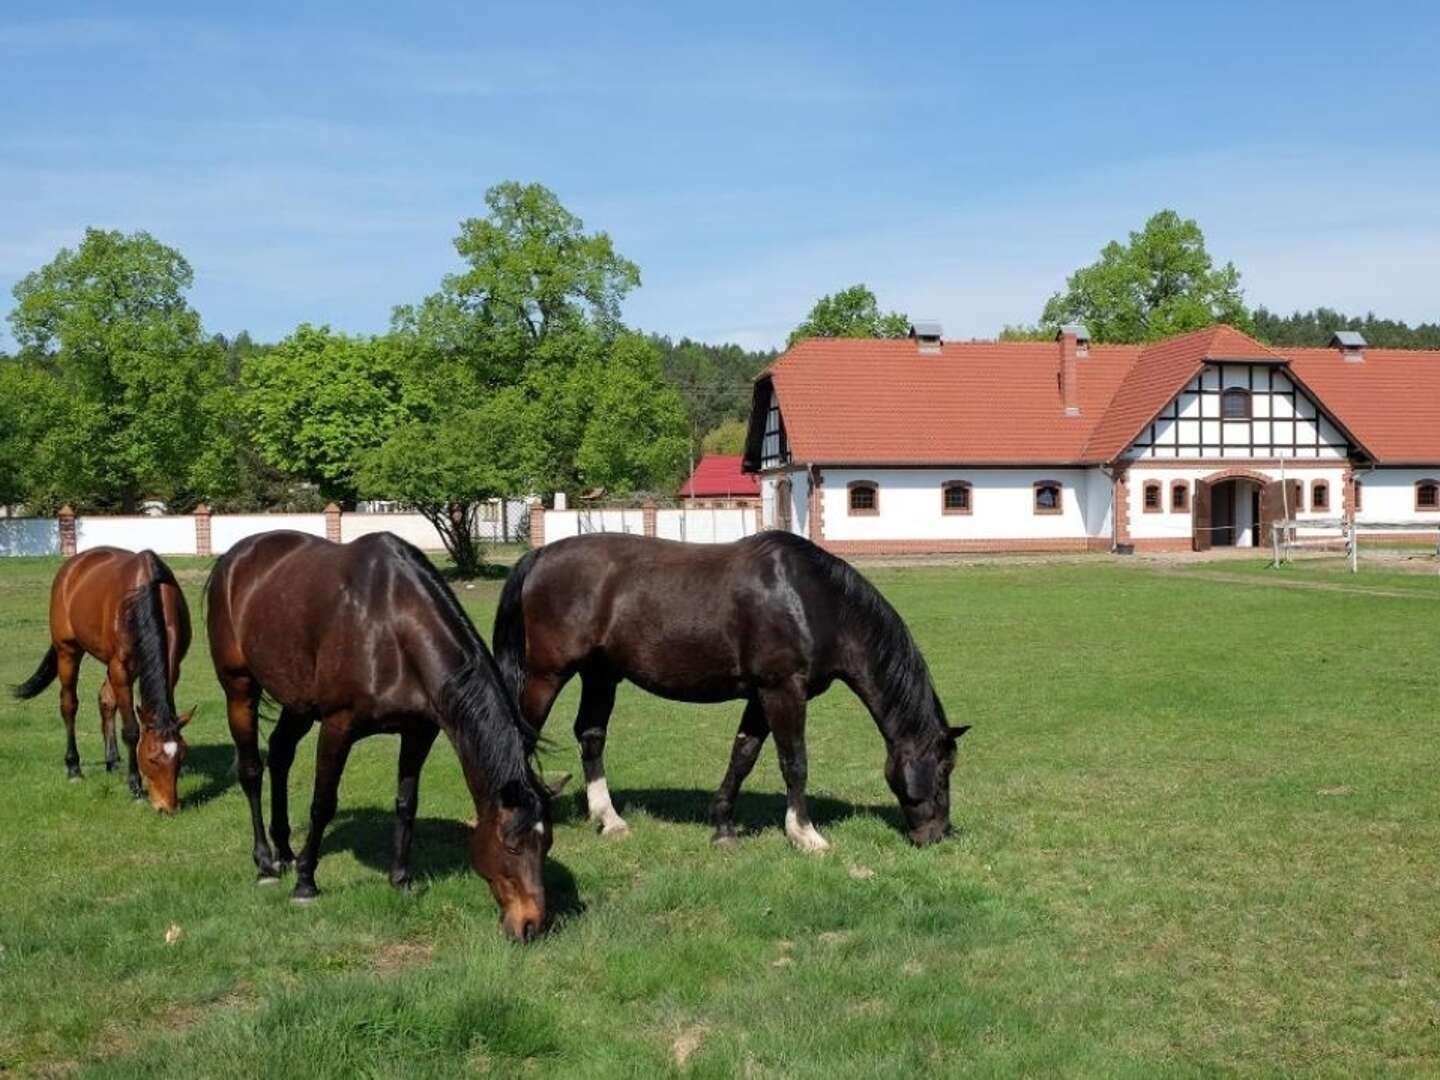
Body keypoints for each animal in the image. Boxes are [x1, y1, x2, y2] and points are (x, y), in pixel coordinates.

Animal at [12, 550, 194, 812]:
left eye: (181, 756)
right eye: (151, 758)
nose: (167, 807)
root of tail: (72, 566)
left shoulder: (172, 667)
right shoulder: (121, 668)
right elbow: (131, 730)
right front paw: (135, 788)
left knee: (106, 700)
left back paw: (113, 761)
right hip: (68, 651)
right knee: (69, 705)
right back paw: (74, 768)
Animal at [205, 529, 564, 938]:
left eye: (546, 843)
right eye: (512, 846)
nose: (532, 924)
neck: (391, 624)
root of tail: (233, 558)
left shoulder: (419, 732)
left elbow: (406, 803)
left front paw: (401, 879)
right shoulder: (338, 725)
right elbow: (322, 803)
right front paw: (306, 883)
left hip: (297, 702)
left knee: (280, 754)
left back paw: (284, 851)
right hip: (239, 688)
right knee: (251, 769)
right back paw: (266, 863)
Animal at [492, 532, 967, 852]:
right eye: (944, 769)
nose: (936, 835)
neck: (811, 601)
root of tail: (539, 556)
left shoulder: (760, 695)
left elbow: (743, 756)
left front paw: (722, 826)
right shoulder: (782, 690)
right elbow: (794, 762)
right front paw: (805, 834)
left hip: (600, 674)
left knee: (591, 736)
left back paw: (610, 820)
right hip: (547, 674)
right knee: (520, 734)